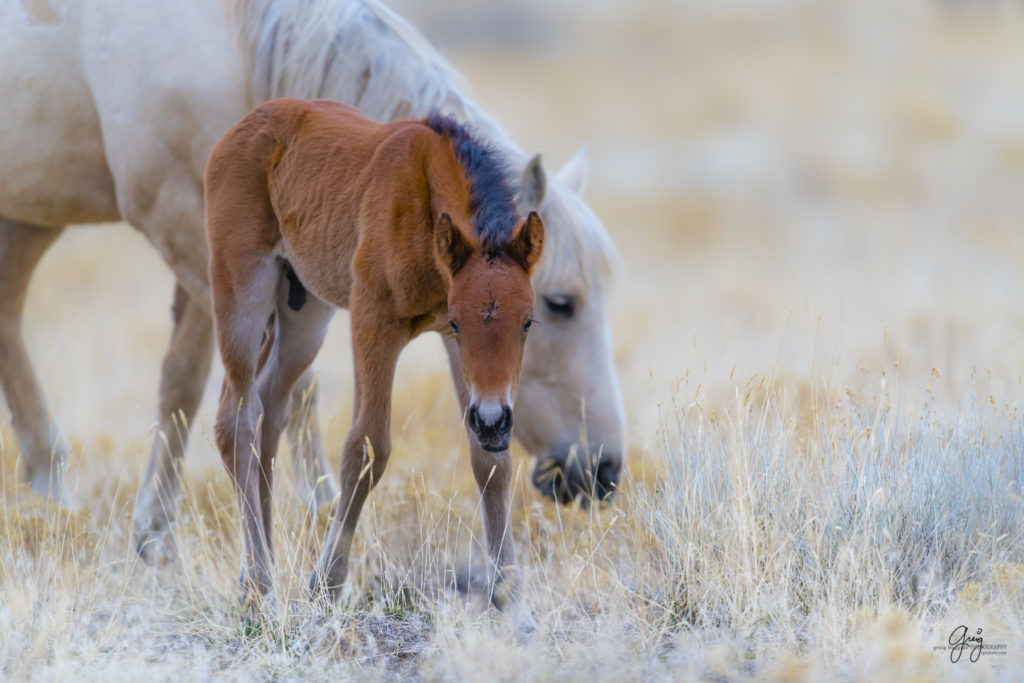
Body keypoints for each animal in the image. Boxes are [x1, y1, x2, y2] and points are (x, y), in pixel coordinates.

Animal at [0, 0, 622, 557]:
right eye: (560, 303)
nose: (603, 469)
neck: (234, 35)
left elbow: (197, 379)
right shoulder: (189, 224)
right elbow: (245, 386)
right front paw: (309, 514)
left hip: (30, 216)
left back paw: (50, 486)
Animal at [205, 97, 544, 610]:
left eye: (527, 322)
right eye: (460, 321)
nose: (492, 419)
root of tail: (242, 127)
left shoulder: (453, 350)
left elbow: (491, 463)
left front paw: (510, 597)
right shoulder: (374, 320)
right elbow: (366, 448)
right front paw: (325, 584)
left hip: (305, 313)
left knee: (268, 408)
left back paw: (253, 570)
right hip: (243, 292)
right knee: (236, 420)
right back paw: (262, 582)